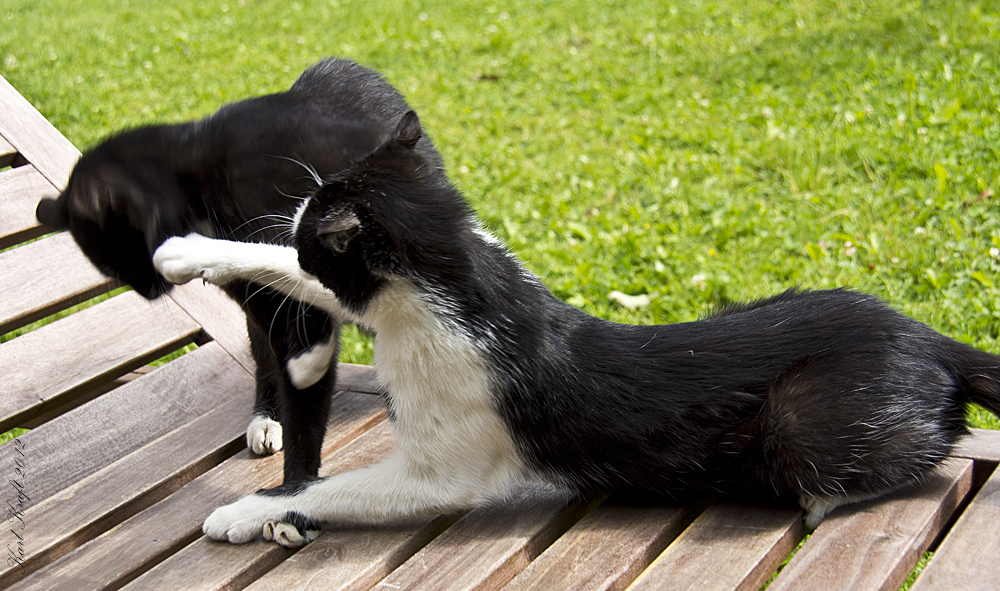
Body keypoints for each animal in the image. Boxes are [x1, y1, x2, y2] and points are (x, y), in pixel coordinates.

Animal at [36, 59, 442, 486]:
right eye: (113, 271)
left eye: (124, 258)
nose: (148, 290)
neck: (198, 181)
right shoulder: (259, 296)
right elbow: (296, 372)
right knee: (266, 359)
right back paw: (268, 414)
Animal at [150, 110, 1000, 544]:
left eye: (318, 220)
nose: (297, 206)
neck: (467, 282)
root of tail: (930, 337)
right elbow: (277, 270)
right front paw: (186, 250)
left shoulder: (441, 469)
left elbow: (334, 487)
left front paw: (246, 511)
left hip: (799, 422)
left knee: (908, 452)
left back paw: (823, 500)